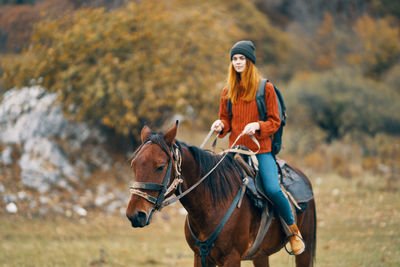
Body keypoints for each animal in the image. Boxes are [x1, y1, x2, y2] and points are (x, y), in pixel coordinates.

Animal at [126, 124, 316, 266]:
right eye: (134, 164)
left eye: (160, 166)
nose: (135, 215)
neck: (212, 205)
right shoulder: (200, 257)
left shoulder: (232, 258)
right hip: (260, 255)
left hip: (304, 252)